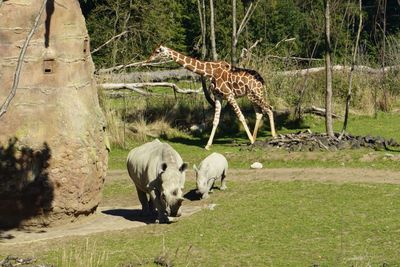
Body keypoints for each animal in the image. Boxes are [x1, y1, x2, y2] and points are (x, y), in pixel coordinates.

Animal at [148, 45, 278, 151]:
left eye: (157, 51)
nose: (148, 59)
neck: (209, 71)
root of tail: (262, 80)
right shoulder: (218, 97)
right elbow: (215, 121)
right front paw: (207, 145)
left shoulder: (229, 95)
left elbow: (241, 117)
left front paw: (251, 140)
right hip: (252, 96)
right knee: (260, 113)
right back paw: (256, 137)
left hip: (256, 94)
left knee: (269, 108)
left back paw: (273, 136)